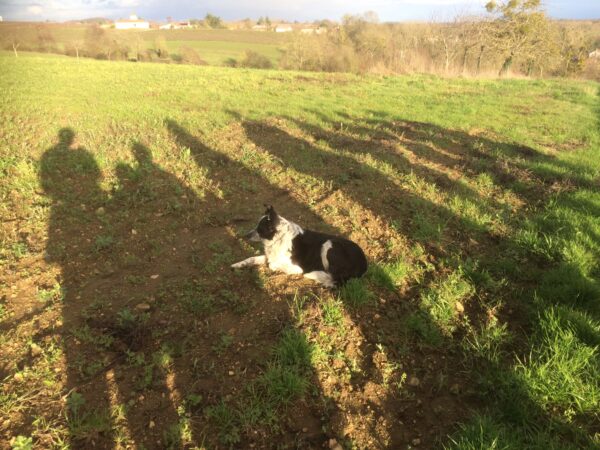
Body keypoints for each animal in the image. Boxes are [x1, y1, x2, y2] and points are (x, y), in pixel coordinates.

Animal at [231, 205, 367, 287]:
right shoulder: (271, 256)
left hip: (329, 245)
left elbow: (272, 265)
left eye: (260, 229)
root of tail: (364, 264)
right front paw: (238, 265)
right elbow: (252, 258)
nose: (245, 235)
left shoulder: (296, 268)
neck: (279, 238)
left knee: (337, 279)